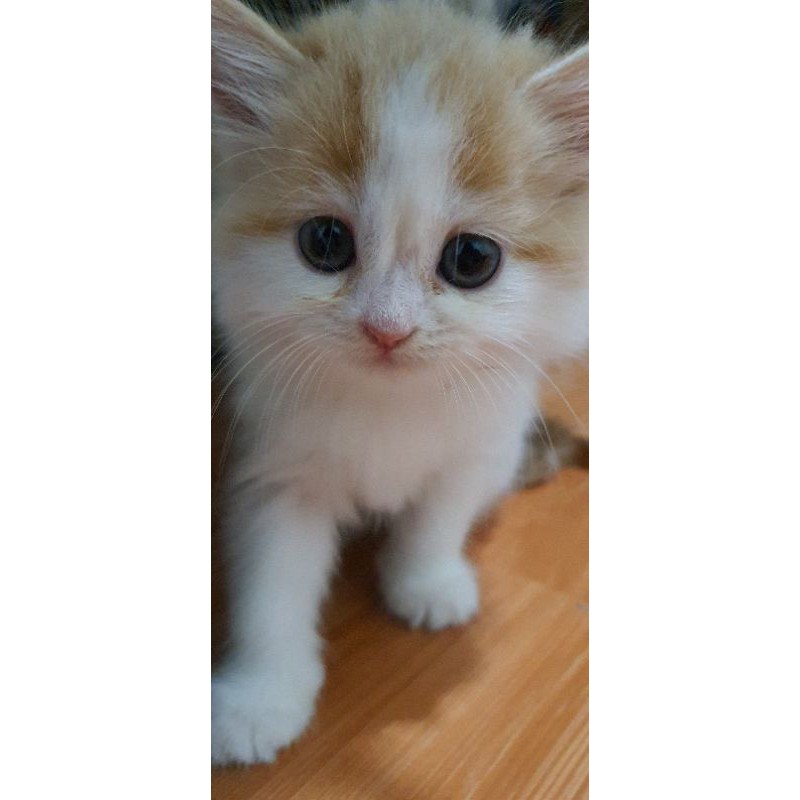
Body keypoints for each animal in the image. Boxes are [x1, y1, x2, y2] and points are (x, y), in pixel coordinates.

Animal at [211, 0, 588, 765]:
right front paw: (260, 699)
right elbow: (272, 590)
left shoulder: (481, 445)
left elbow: (437, 517)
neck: (391, 405)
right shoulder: (276, 469)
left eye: (472, 259)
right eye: (325, 243)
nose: (388, 329)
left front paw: (426, 582)